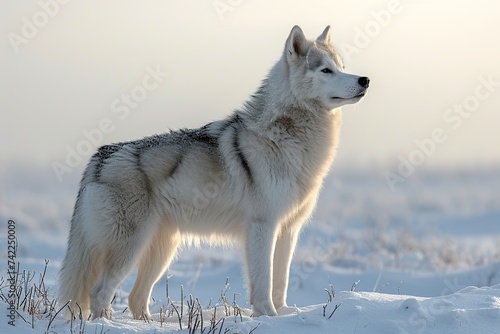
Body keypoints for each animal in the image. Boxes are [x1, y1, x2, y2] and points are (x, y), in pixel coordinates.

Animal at [58, 24, 370, 320]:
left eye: (342, 66)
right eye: (326, 70)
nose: (364, 80)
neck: (289, 136)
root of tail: (100, 156)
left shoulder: (288, 230)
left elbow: (280, 283)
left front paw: (282, 316)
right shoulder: (262, 226)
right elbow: (263, 283)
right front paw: (267, 316)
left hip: (162, 251)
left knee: (136, 298)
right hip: (131, 247)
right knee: (99, 293)